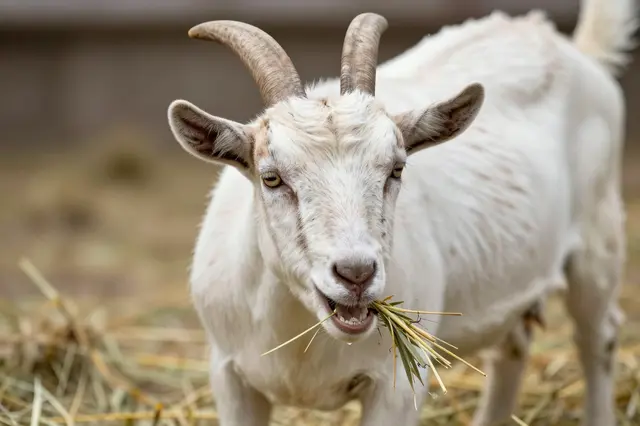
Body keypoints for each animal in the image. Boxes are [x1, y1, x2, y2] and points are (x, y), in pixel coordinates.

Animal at [166, 0, 638, 425]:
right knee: (514, 344)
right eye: (271, 177)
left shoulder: (397, 386)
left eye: (396, 169)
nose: (355, 274)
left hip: (599, 238)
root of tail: (571, 46)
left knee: (599, 336)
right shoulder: (229, 377)